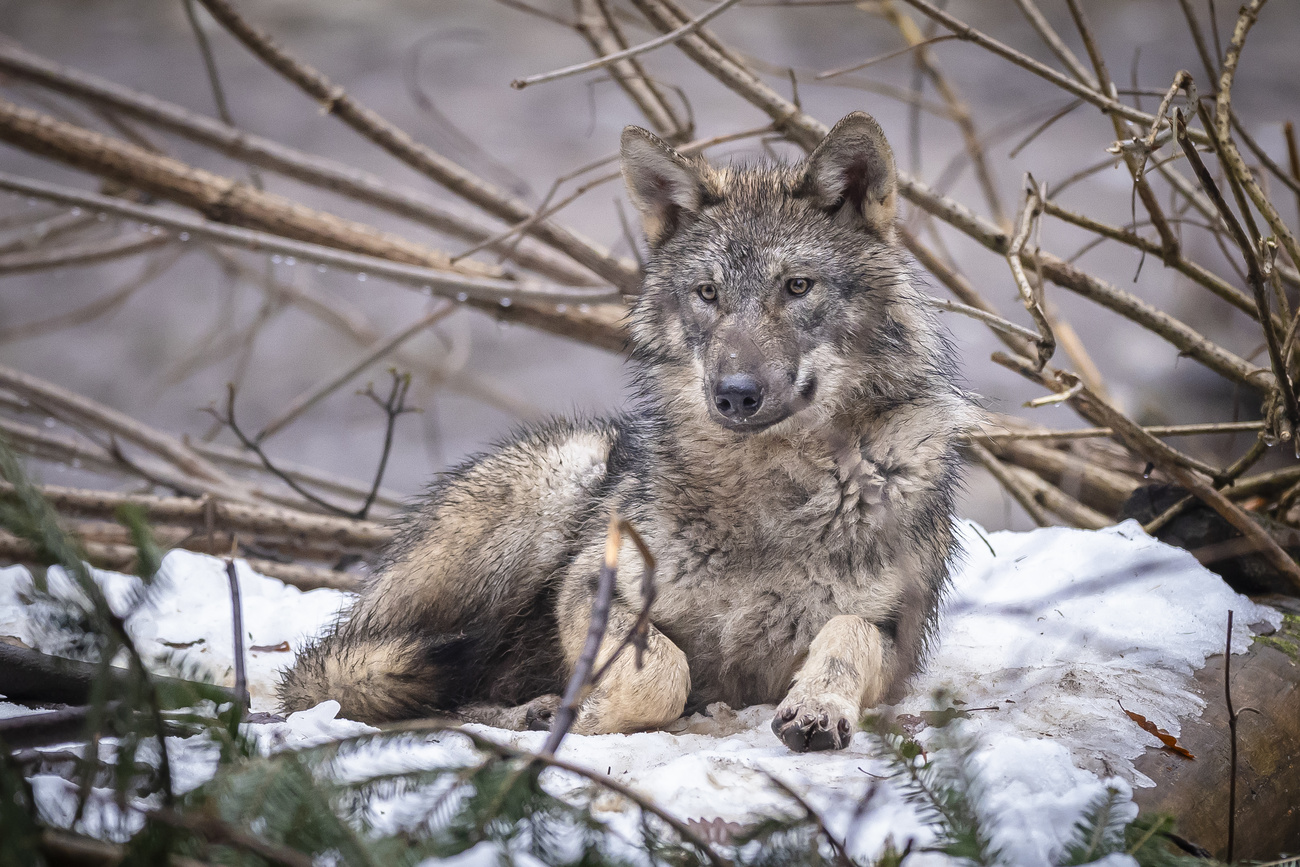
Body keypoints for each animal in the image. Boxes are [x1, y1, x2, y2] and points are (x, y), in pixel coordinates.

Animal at [279, 111, 972, 753]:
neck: (768, 494)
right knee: (359, 682)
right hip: (562, 475)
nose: (734, 394)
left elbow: (846, 634)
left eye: (797, 286)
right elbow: (663, 673)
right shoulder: (590, 587)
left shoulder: (895, 638)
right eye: (708, 293)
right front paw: (583, 713)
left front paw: (818, 708)